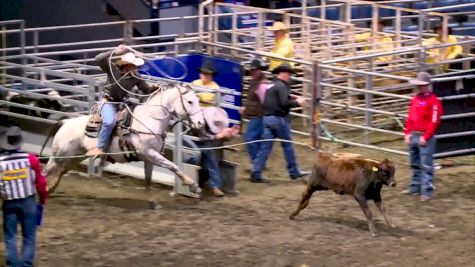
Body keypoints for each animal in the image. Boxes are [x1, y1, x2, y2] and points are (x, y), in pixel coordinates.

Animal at [45, 85, 206, 202]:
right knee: (47, 171)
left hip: (75, 157)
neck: (149, 119)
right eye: (190, 102)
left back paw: (50, 189)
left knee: (61, 171)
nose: (201, 123)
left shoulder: (149, 159)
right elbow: (173, 166)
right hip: (59, 156)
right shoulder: (150, 153)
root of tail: (65, 122)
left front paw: (152, 202)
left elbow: (148, 179)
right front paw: (194, 186)